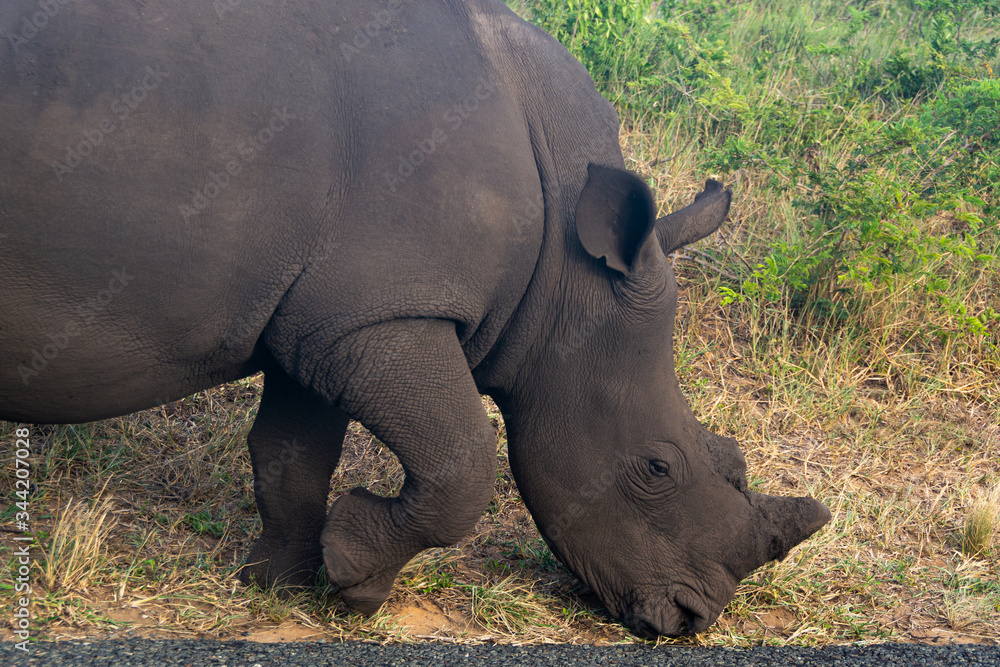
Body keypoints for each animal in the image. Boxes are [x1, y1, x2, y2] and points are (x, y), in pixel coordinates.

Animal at [0, 0, 829, 636]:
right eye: (656, 468)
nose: (692, 617)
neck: (567, 271)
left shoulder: (326, 318)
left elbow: (292, 455)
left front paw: (282, 581)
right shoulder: (385, 316)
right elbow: (464, 462)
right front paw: (354, 583)